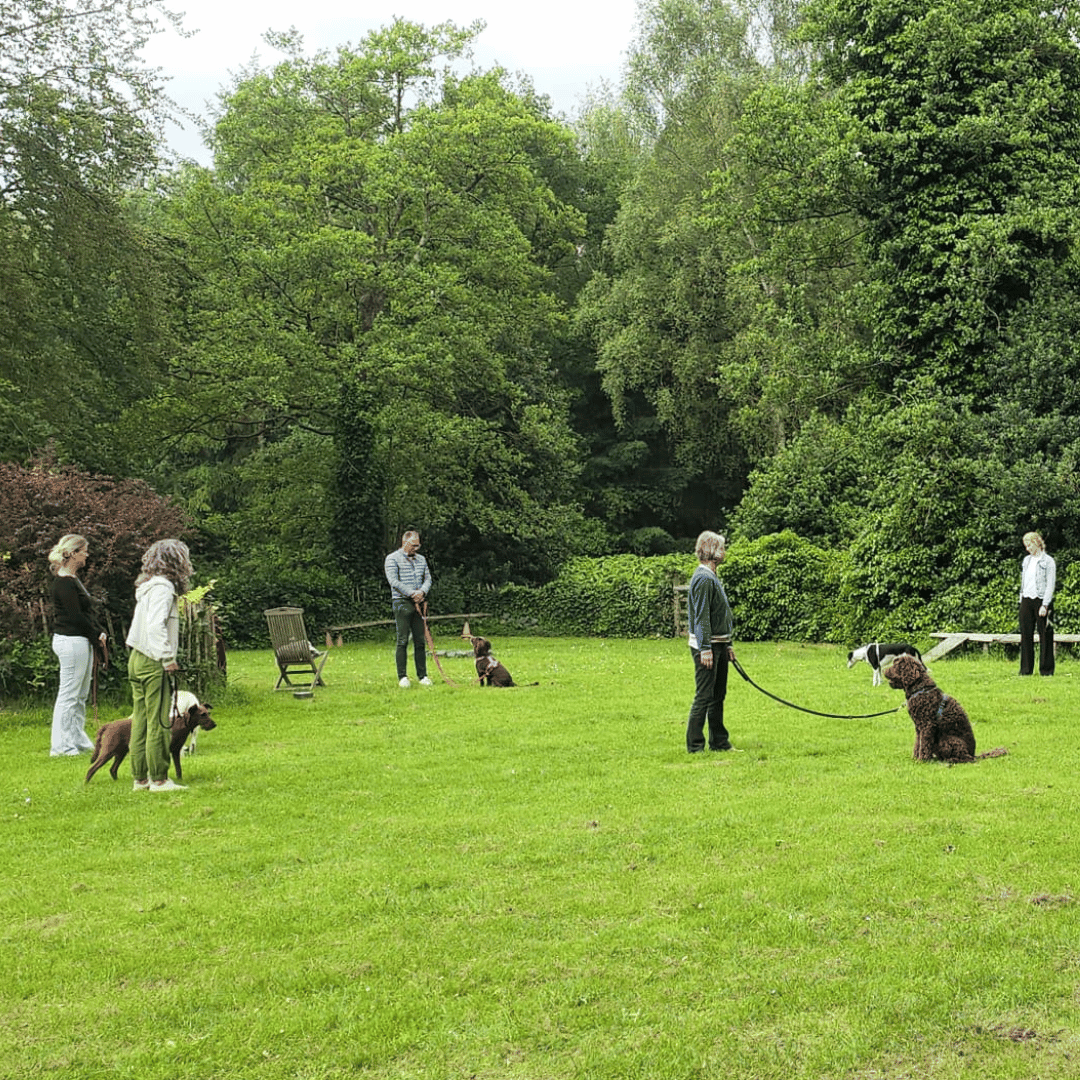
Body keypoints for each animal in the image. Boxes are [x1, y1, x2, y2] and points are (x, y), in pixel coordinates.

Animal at [85, 691, 216, 786]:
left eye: (208, 713)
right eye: (202, 714)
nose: (214, 724)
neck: (180, 723)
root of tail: (108, 725)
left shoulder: (175, 751)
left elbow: (178, 769)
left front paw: (179, 780)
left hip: (120, 752)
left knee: (112, 769)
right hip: (108, 752)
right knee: (92, 768)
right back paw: (86, 784)